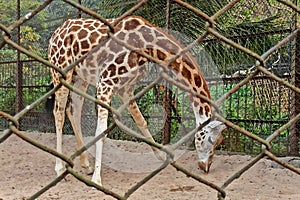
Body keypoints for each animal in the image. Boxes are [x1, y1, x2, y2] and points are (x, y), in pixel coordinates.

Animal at [48, 15, 225, 186]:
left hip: (80, 78)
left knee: (73, 111)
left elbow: (141, 121)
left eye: (219, 143)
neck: (148, 47)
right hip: (61, 72)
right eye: (211, 139)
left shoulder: (126, 88)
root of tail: (54, 35)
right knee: (59, 113)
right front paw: (97, 179)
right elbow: (101, 132)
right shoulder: (106, 83)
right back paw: (60, 169)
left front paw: (161, 156)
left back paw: (85, 164)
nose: (205, 167)